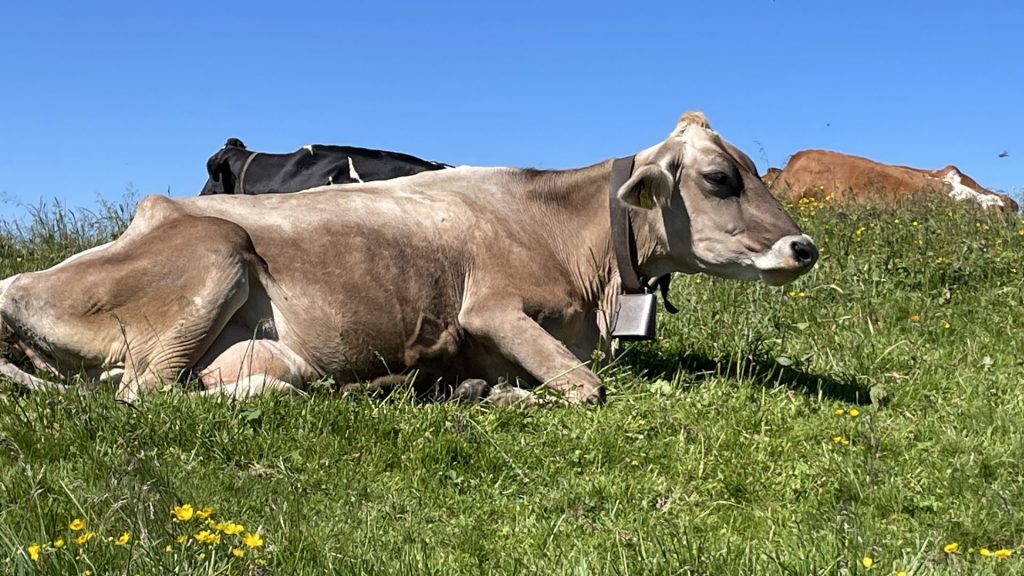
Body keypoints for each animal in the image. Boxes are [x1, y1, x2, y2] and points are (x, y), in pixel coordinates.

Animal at [0, 111, 818, 405]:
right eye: (721, 178)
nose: (805, 245)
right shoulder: (488, 308)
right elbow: (586, 390)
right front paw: (502, 395)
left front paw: (481, 387)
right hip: (216, 250)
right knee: (144, 393)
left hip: (268, 354)